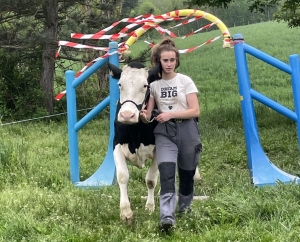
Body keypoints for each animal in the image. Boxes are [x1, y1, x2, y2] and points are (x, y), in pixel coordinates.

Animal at [106, 61, 200, 222]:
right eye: (119, 84)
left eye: (145, 85)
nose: (127, 115)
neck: (136, 133)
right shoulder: (116, 145)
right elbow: (122, 176)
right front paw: (126, 212)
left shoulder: (158, 150)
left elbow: (151, 180)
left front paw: (149, 207)